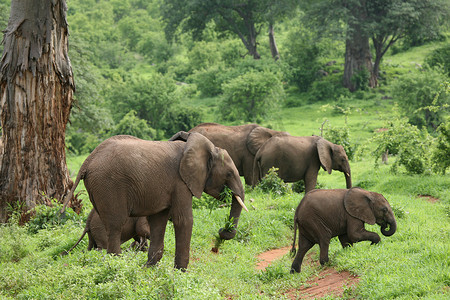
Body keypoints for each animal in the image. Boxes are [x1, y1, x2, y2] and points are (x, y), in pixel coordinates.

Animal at [60, 132, 246, 270]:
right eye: (229, 174)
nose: (222, 231)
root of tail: (88, 161)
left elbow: (158, 221)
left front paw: (149, 268)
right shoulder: (180, 182)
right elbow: (183, 220)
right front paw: (180, 273)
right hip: (108, 185)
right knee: (115, 227)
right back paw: (116, 266)